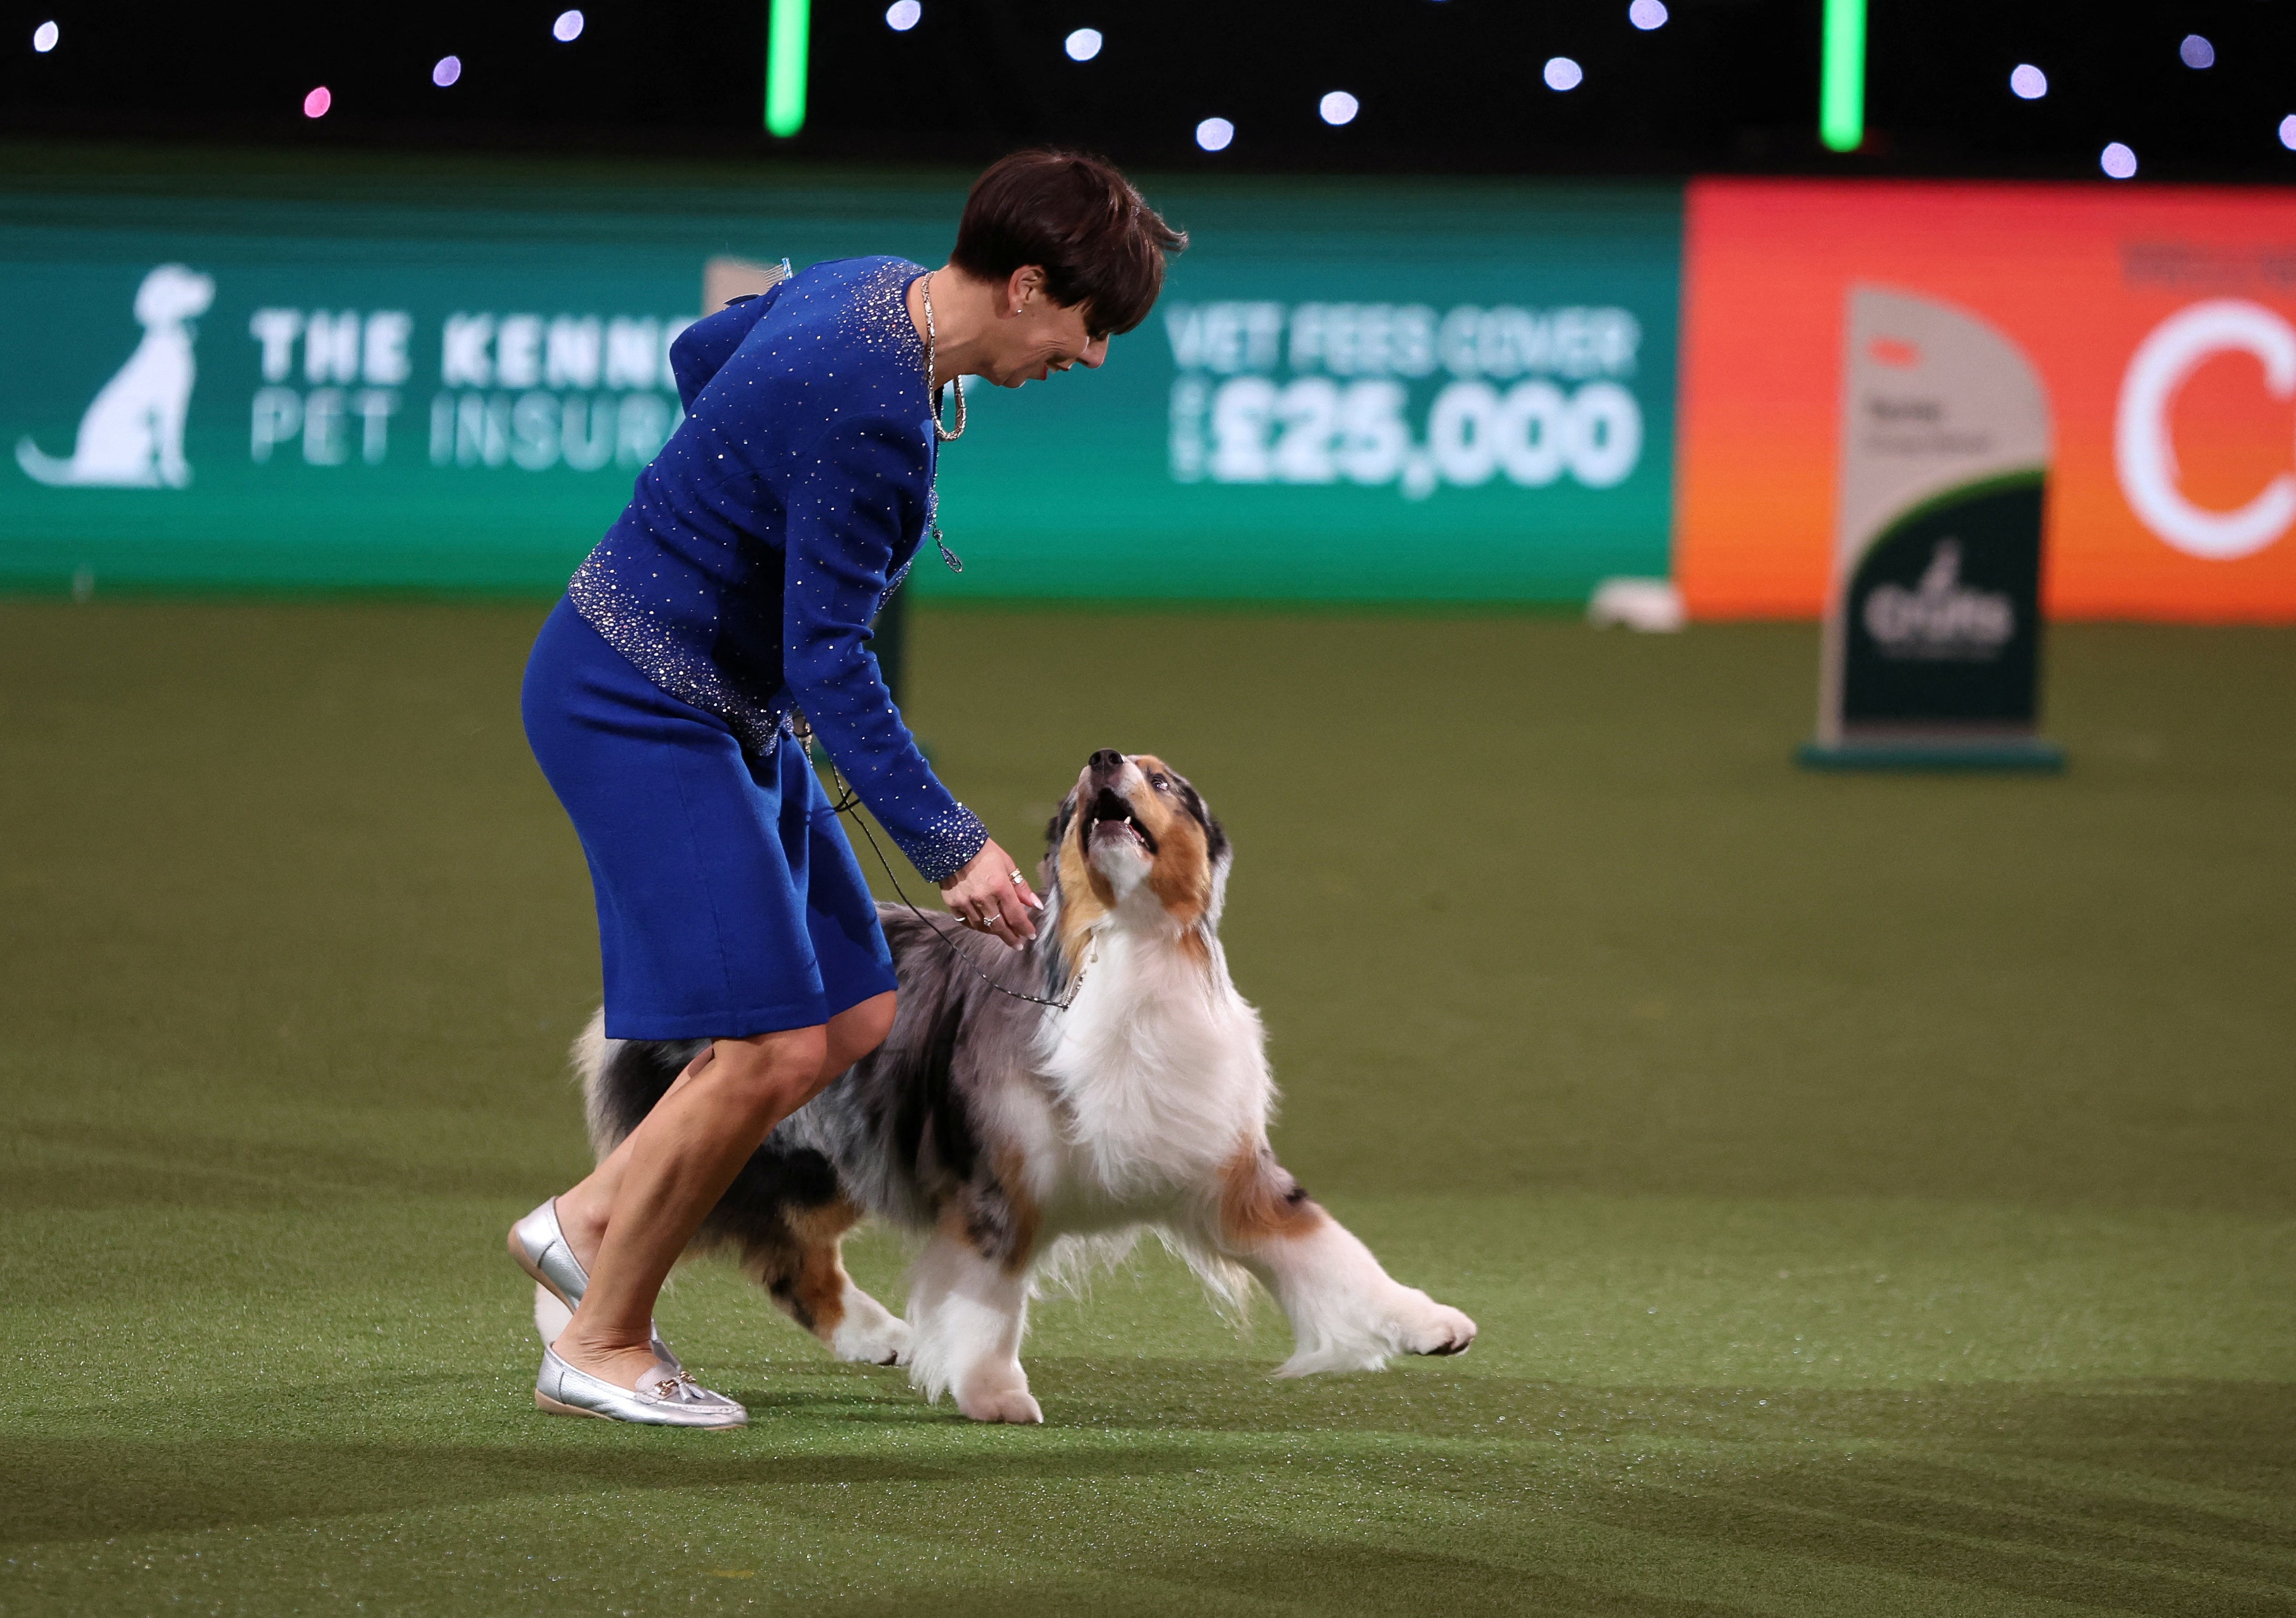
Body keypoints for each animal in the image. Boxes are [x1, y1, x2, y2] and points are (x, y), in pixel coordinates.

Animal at [18, 261, 216, 488]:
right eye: (181, 283)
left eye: (186, 273)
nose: (210, 279)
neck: (168, 336)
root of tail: (79, 464)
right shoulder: (171, 404)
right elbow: (172, 443)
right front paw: (176, 474)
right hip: (142, 434)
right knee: (115, 475)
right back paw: (148, 479)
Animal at [551, 753, 1469, 1422]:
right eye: (1078, 789)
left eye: (1164, 779)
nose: (1104, 758)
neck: (1125, 952)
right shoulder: (995, 1183)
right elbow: (990, 1303)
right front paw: (994, 1393)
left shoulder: (1228, 1170)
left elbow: (1331, 1250)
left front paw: (1431, 1324)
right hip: (782, 1139)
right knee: (675, 1227)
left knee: (789, 1257)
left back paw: (877, 1336)